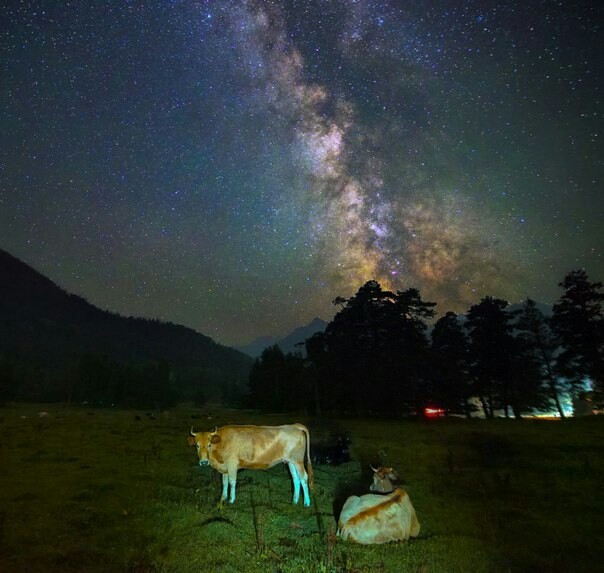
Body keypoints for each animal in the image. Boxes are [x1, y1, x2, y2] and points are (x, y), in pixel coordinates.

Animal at [186, 420, 314, 504]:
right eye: (197, 445)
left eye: (209, 444)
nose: (203, 462)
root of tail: (294, 426)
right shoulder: (225, 467)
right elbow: (224, 482)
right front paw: (223, 498)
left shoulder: (232, 464)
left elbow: (232, 482)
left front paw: (231, 500)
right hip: (290, 462)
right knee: (295, 479)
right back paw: (294, 501)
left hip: (298, 461)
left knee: (304, 478)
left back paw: (306, 503)